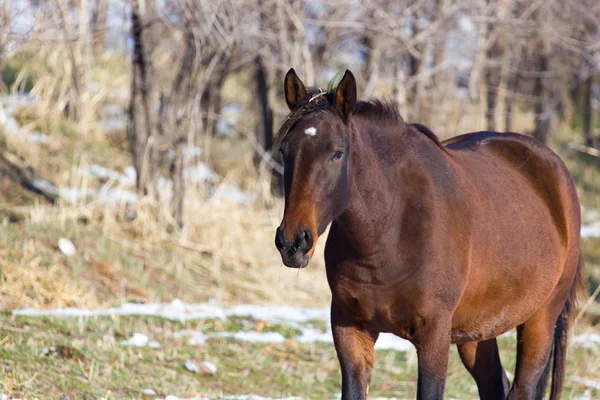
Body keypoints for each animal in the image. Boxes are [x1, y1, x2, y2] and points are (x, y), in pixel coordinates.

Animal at [274, 69, 584, 400]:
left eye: (337, 153)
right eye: (284, 151)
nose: (293, 242)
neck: (389, 234)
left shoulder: (434, 336)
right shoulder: (350, 330)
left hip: (540, 321)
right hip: (476, 331)